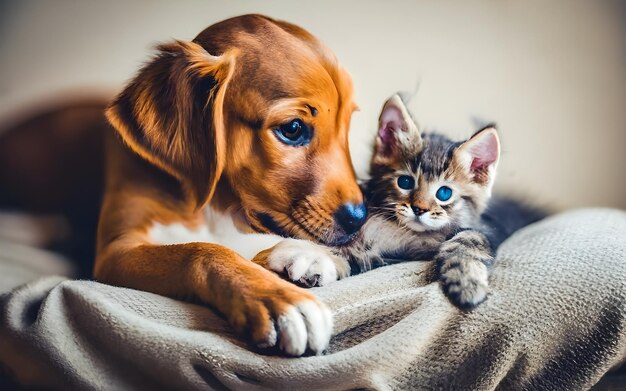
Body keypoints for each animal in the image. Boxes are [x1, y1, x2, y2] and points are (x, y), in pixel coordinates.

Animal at [94, 13, 364, 356]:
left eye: (347, 126)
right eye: (292, 128)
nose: (359, 218)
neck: (210, 205)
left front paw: (307, 255)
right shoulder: (117, 251)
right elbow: (198, 251)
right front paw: (278, 298)